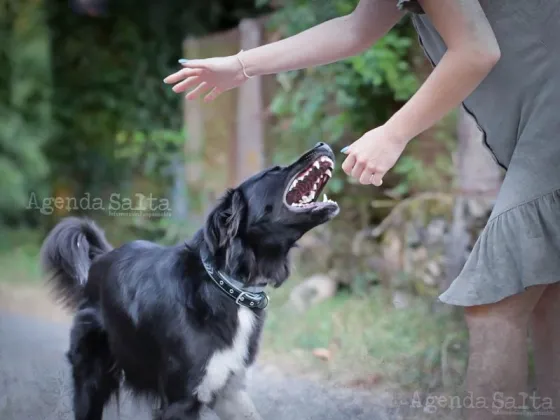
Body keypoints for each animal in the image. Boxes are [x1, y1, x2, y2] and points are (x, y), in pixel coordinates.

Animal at [41, 143, 340, 418]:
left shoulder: (229, 389)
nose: (323, 144)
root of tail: (100, 258)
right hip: (91, 380)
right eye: (273, 171)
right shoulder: (181, 399)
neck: (228, 287)